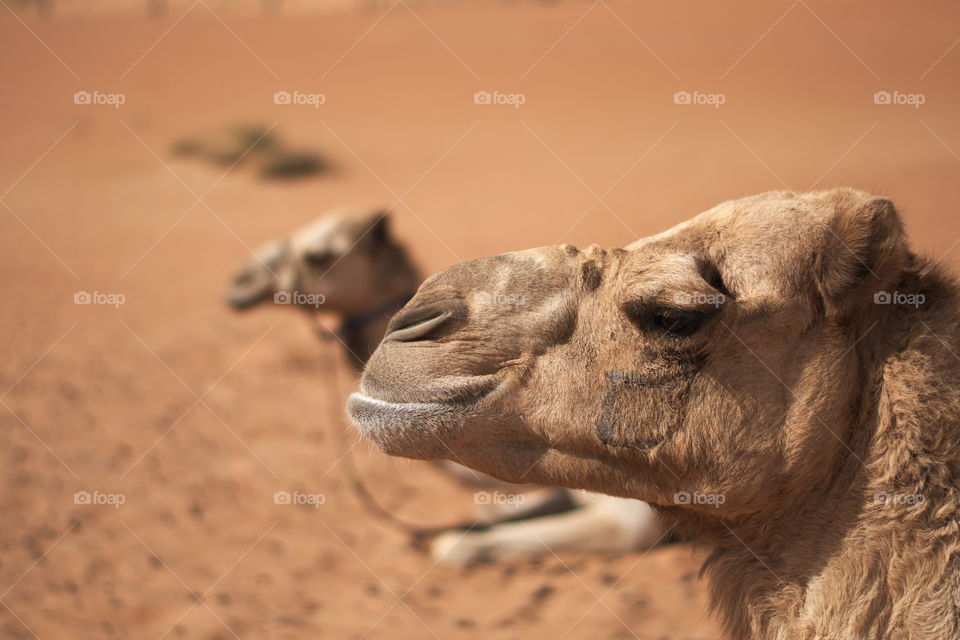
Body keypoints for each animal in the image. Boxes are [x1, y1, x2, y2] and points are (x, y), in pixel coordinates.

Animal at [228, 209, 669, 563]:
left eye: (317, 255)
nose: (239, 282)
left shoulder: (632, 509)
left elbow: (456, 548)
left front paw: (461, 540)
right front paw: (501, 508)